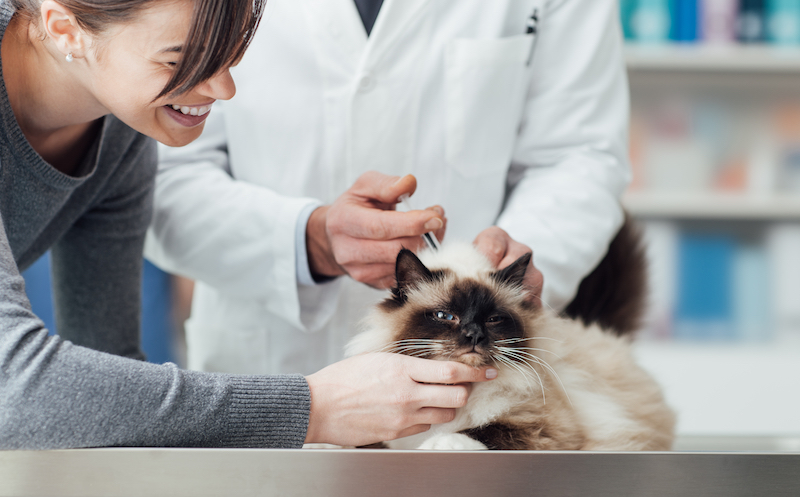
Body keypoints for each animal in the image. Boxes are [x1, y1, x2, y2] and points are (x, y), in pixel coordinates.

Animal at [346, 236, 680, 450]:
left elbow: (483, 430)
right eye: (445, 316)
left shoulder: (548, 430)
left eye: (493, 319)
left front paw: (439, 443)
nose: (474, 335)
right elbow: (361, 440)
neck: (463, 390)